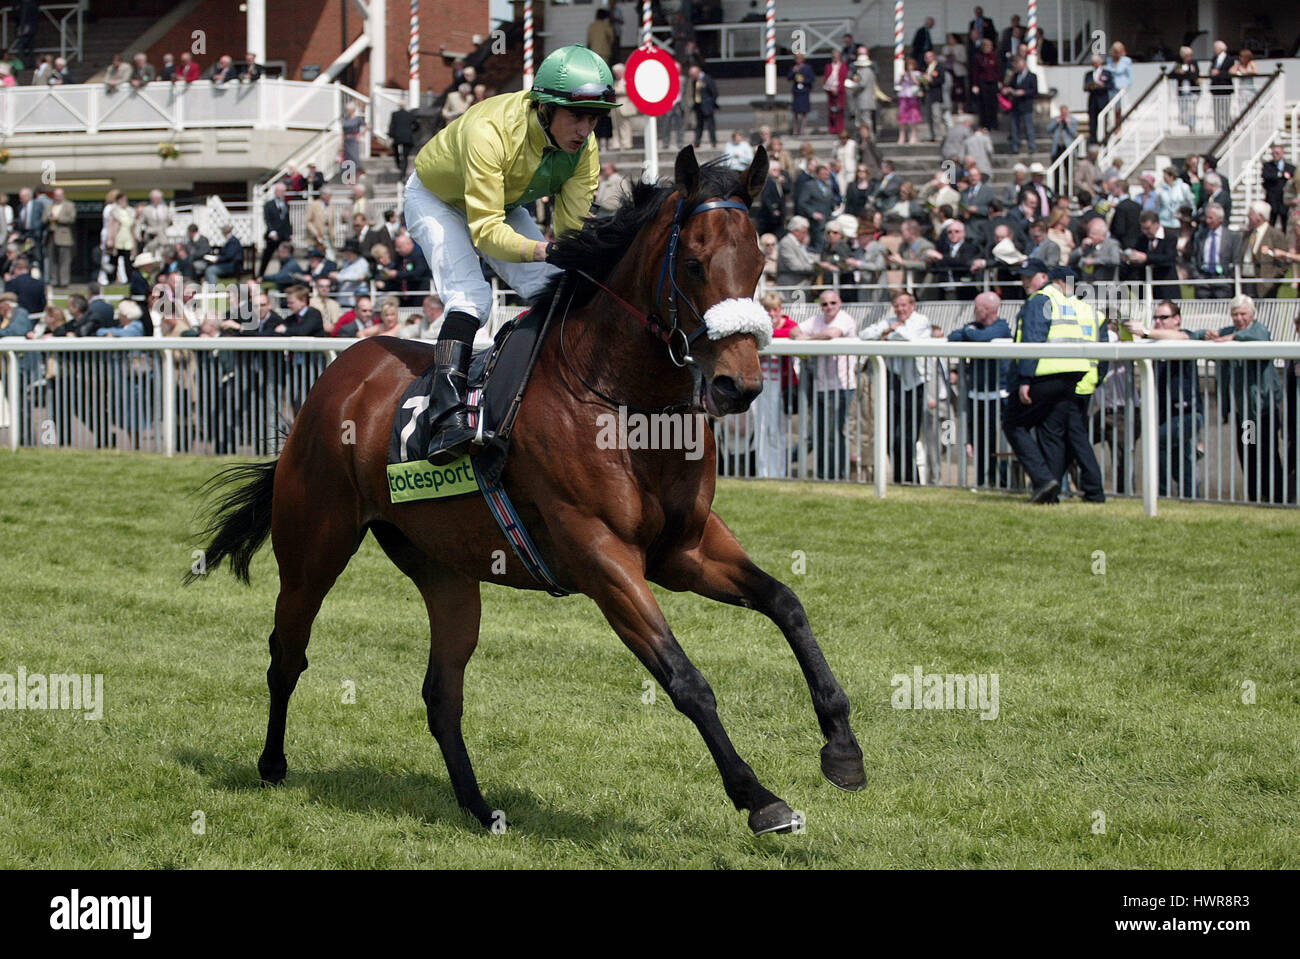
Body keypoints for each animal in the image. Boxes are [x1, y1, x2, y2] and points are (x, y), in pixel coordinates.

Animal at [185, 147, 863, 831]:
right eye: (694, 263)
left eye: (757, 264)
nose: (737, 386)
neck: (624, 402)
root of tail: (338, 376)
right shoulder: (601, 557)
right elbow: (686, 678)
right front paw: (759, 797)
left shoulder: (685, 549)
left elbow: (786, 604)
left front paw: (842, 748)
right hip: (314, 547)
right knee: (287, 654)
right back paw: (273, 764)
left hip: (445, 570)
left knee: (441, 692)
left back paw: (478, 806)